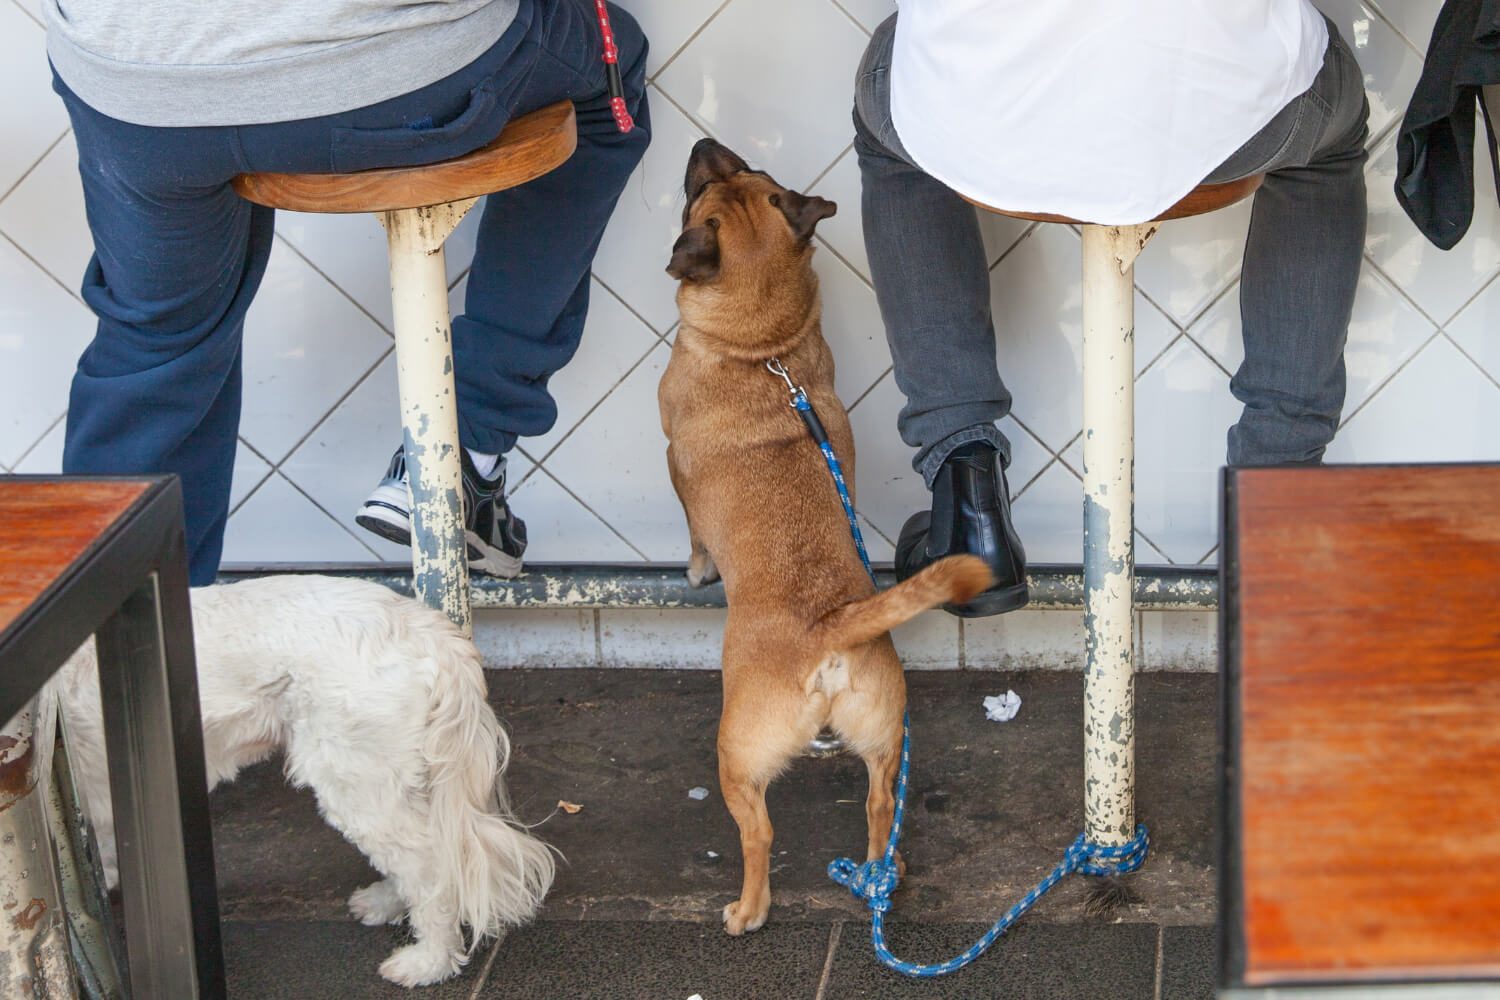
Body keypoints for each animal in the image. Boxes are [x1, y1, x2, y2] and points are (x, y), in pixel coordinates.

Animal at [660, 140, 996, 941]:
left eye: (698, 195)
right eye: (745, 173)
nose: (705, 145)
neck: (762, 348)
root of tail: (832, 626)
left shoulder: (674, 467)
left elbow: (693, 534)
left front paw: (696, 569)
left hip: (738, 755)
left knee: (759, 835)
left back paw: (749, 909)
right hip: (883, 737)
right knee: (878, 806)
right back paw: (880, 873)